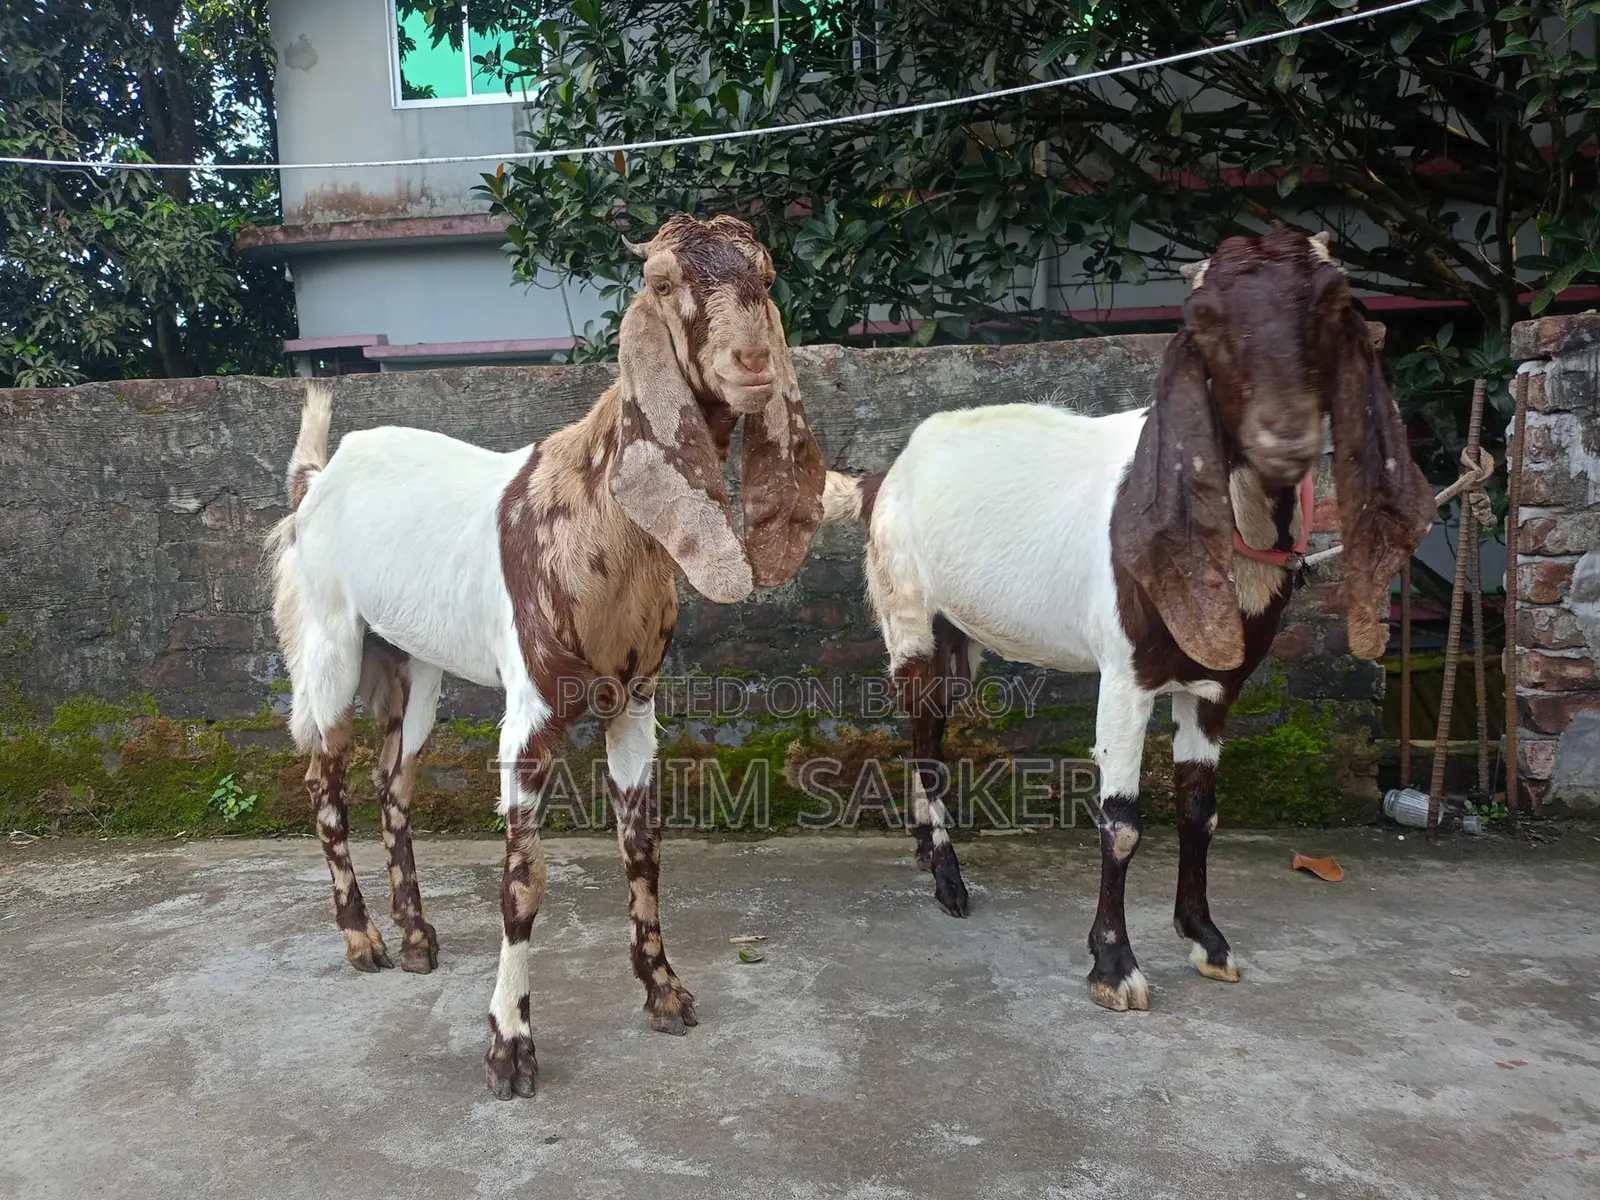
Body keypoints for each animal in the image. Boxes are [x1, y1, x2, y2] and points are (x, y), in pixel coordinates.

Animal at [267, 215, 825, 1097]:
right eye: (661, 282)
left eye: (766, 278)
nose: (753, 364)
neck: (600, 514)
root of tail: (314, 481)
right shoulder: (529, 710)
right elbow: (523, 881)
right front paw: (510, 1045)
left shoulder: (634, 702)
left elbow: (642, 845)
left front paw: (664, 991)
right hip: (330, 641)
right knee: (325, 782)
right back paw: (363, 941)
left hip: (413, 662)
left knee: (394, 781)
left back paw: (417, 936)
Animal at [822, 225, 1435, 1012]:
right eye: (1202, 320)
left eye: (1333, 303)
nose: (1286, 438)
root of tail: (883, 477)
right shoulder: (1125, 674)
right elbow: (1120, 822)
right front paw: (1114, 965)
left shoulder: (1218, 685)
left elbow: (1201, 812)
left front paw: (1206, 938)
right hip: (909, 614)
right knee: (924, 735)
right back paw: (948, 881)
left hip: (960, 635)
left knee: (934, 727)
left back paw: (929, 852)